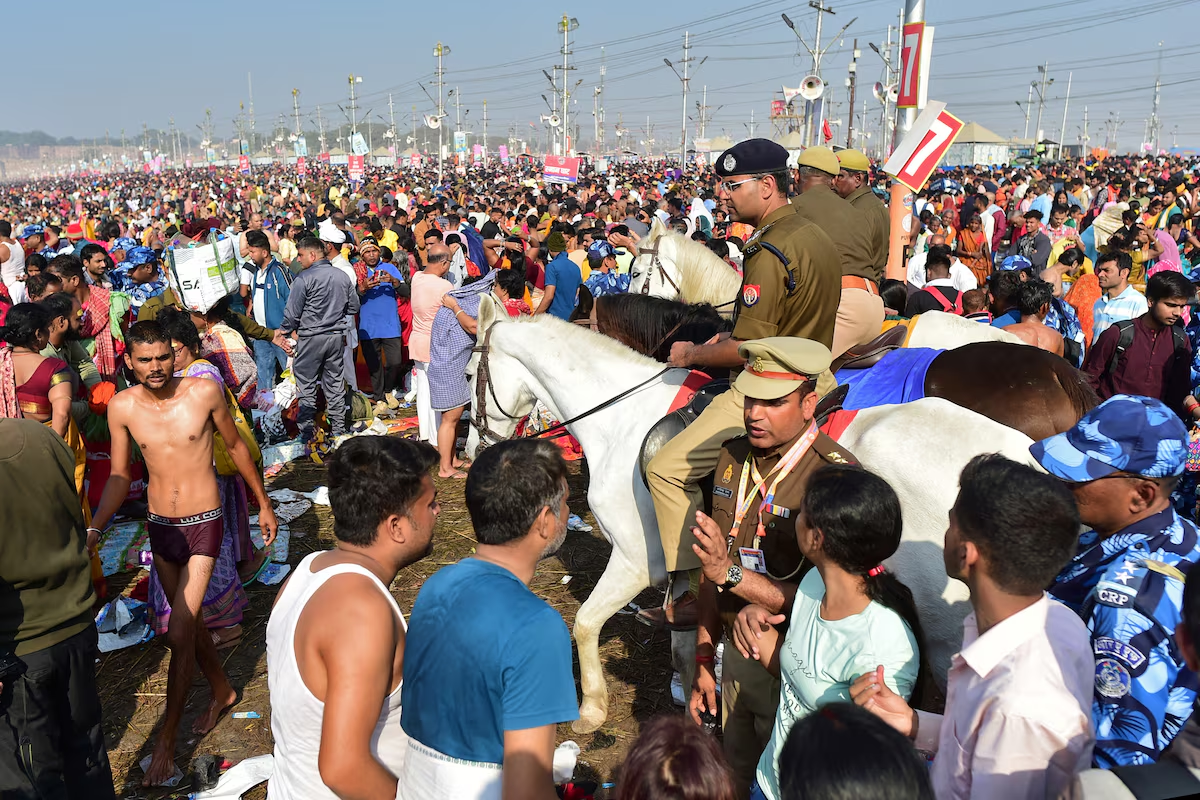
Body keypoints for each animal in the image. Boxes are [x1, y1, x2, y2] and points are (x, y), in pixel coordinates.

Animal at [463, 298, 1036, 734]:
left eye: (469, 374)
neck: (621, 420)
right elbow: (685, 638)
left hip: (946, 633)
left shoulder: (634, 561)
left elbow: (583, 623)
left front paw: (590, 709)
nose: (474, 449)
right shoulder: (686, 565)